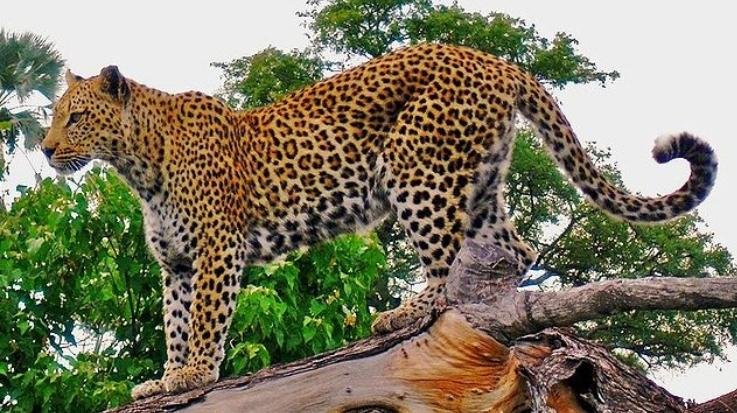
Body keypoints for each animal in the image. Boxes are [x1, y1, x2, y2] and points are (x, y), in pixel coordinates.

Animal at [41, 43, 717, 399]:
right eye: (54, 115)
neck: (138, 162)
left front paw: (193, 376)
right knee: (514, 249)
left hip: (418, 172)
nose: (45, 149)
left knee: (443, 265)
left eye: (76, 117)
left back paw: (408, 313)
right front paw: (166, 378)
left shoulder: (215, 250)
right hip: (479, 186)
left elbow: (205, 320)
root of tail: (494, 60)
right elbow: (176, 323)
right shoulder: (177, 262)